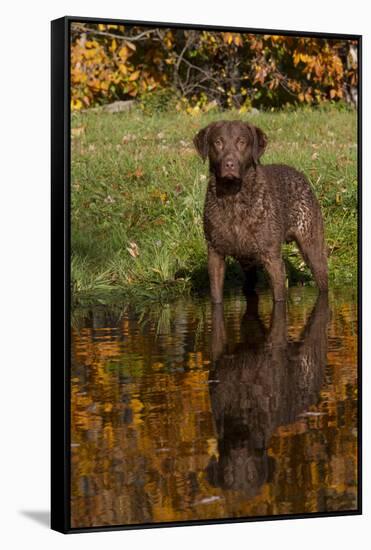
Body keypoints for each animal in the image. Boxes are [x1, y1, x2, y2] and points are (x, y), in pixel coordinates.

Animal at [195, 121, 328, 304]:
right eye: (218, 142)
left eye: (242, 141)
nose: (229, 164)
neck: (233, 199)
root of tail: (300, 175)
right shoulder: (215, 254)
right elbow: (216, 297)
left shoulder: (272, 258)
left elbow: (279, 299)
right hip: (248, 262)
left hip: (312, 248)